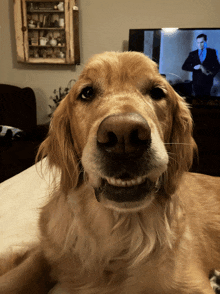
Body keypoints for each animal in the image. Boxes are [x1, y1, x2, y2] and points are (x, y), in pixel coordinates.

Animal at [0, 51, 220, 292]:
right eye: (87, 93)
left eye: (157, 92)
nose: (124, 136)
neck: (118, 232)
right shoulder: (50, 249)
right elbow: (22, 273)